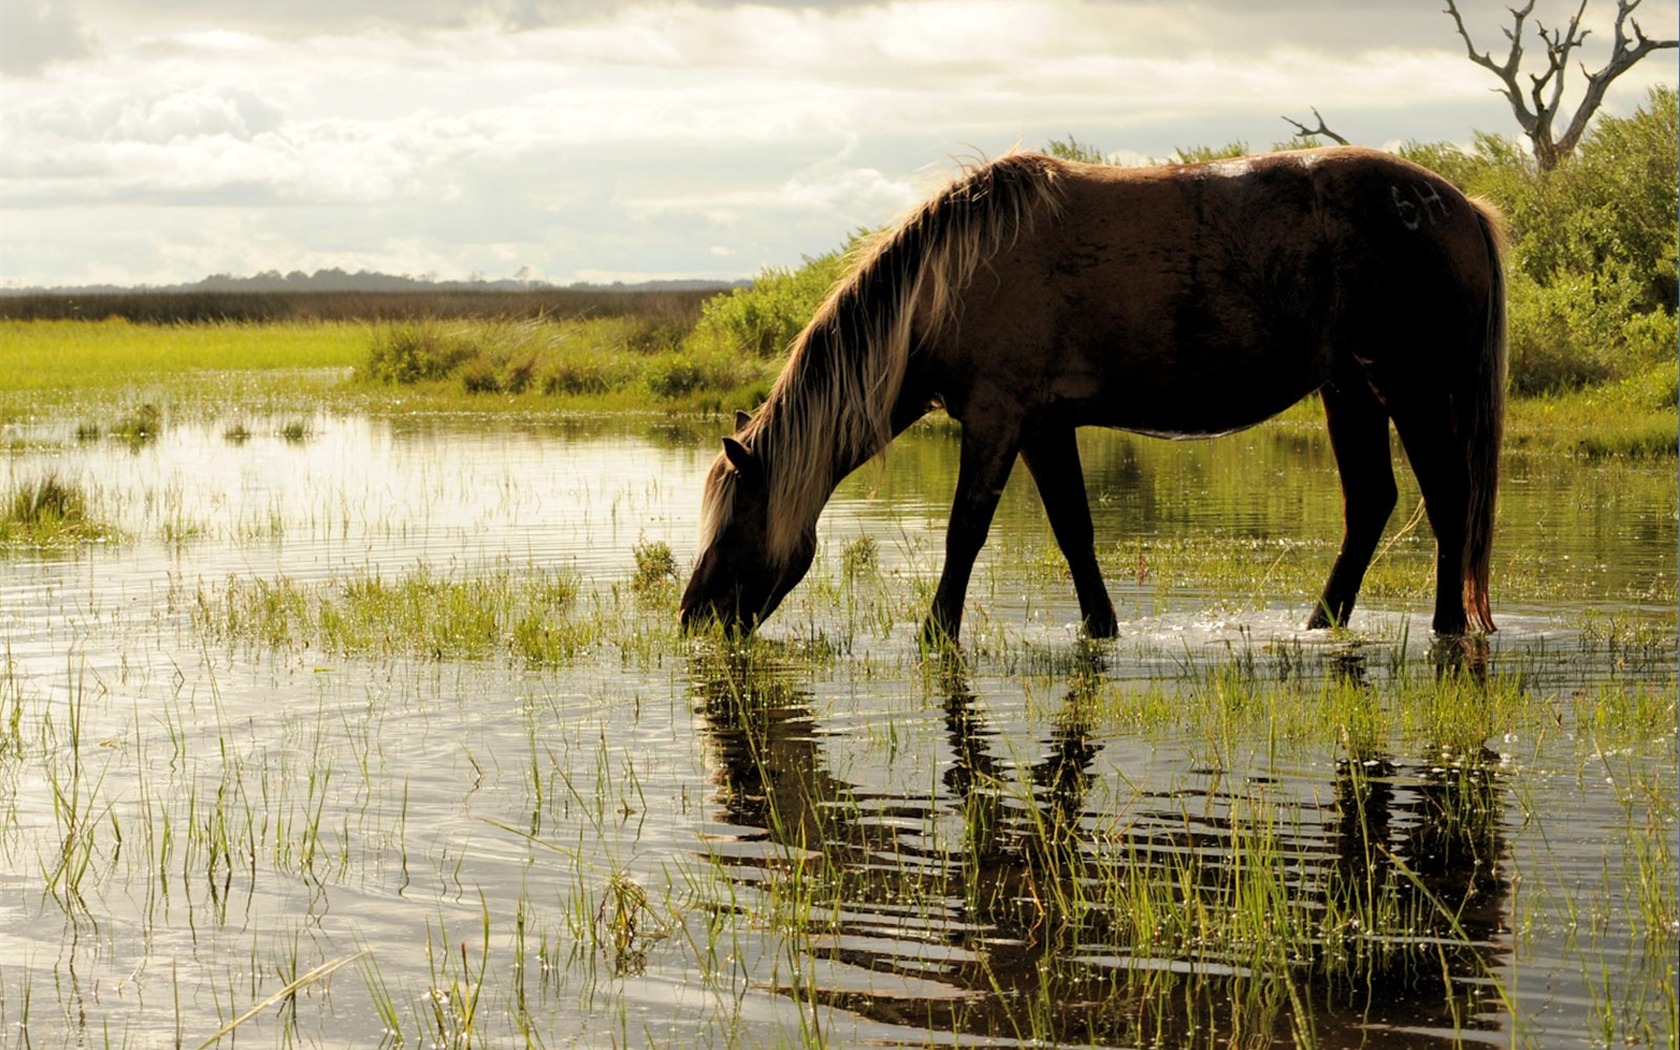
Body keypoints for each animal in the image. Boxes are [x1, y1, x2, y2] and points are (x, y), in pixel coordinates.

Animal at [678, 145, 1512, 638]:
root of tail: (1463, 208)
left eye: (736, 520)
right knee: (1372, 503)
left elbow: (964, 533)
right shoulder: (1045, 427)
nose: (693, 616)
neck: (952, 281)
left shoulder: (997, 420)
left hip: (1410, 388)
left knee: (1447, 499)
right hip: (1350, 389)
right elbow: (1074, 532)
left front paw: (936, 634)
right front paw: (1099, 629)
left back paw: (1446, 627)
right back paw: (1320, 623)